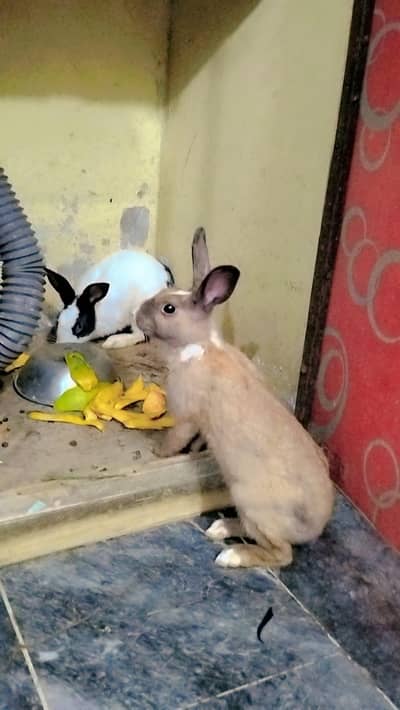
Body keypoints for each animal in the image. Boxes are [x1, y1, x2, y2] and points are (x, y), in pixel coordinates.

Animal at [45, 249, 174, 349]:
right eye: (58, 321)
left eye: (79, 326)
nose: (61, 344)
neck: (95, 309)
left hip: (138, 312)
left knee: (140, 335)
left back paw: (114, 342)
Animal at [136, 227, 335, 570]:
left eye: (168, 309)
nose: (136, 314)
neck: (199, 346)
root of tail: (316, 526)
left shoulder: (186, 417)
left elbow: (175, 439)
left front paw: (158, 452)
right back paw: (219, 528)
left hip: (251, 503)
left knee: (281, 554)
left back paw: (231, 555)